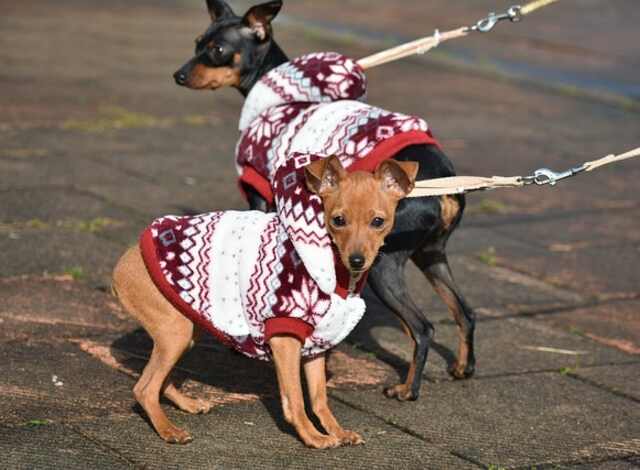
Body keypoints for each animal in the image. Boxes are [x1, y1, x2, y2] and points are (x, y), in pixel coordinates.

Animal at [112, 156, 418, 446]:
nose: (357, 260)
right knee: (144, 388)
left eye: (378, 222)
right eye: (338, 220)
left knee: (159, 381)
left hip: (187, 330)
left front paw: (338, 432)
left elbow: (319, 398)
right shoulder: (285, 337)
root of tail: (122, 264)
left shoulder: (316, 345)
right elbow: (296, 399)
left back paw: (187, 405)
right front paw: (314, 438)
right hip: (175, 333)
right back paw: (169, 431)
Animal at [172, 0, 478, 404]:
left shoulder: (260, 198)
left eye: (218, 50)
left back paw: (407, 390)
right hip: (430, 254)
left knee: (423, 327)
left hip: (382, 263)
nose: (178, 75)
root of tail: (443, 186)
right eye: (197, 43)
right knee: (465, 311)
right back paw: (462, 368)